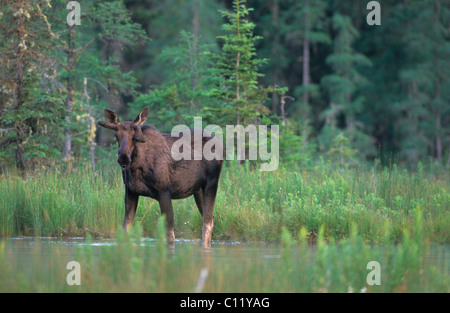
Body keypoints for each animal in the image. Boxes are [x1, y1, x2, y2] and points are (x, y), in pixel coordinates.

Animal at [99, 106, 224, 247]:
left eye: (135, 137)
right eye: (116, 135)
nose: (123, 157)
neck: (136, 169)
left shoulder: (164, 192)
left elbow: (170, 234)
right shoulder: (131, 192)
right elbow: (125, 229)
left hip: (211, 182)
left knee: (207, 223)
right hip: (198, 190)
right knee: (210, 218)